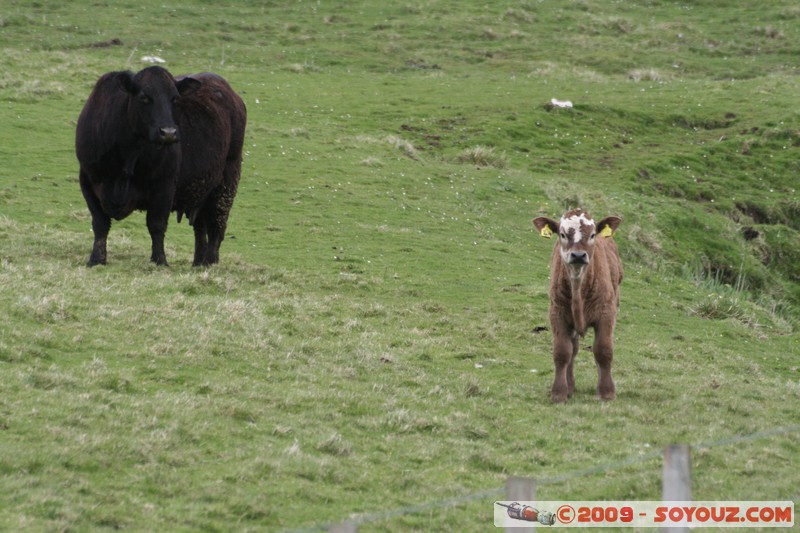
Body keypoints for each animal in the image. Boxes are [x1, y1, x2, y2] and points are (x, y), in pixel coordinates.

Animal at [78, 66, 248, 266]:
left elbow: (156, 225)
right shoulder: (87, 180)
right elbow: (100, 223)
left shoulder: (165, 184)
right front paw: (96, 259)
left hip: (227, 181)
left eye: (174, 98)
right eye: (144, 97)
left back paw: (210, 262)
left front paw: (159, 260)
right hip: (202, 190)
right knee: (200, 228)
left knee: (217, 225)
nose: (168, 132)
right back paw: (198, 263)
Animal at [532, 208, 624, 404]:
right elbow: (562, 352)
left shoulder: (607, 312)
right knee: (573, 350)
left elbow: (603, 350)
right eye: (562, 234)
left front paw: (606, 391)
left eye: (593, 234)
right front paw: (559, 392)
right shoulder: (557, 313)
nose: (578, 255)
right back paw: (570, 386)